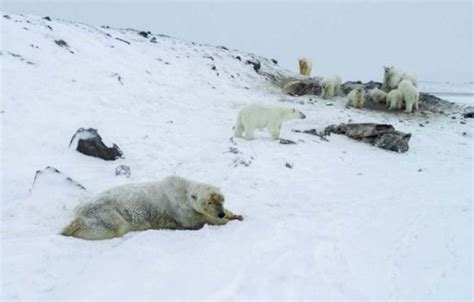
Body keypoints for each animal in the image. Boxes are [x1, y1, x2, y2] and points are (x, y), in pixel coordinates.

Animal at [60, 176, 243, 239]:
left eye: (222, 199)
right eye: (209, 202)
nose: (220, 213)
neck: (183, 190)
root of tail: (79, 208)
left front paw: (236, 215)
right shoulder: (180, 209)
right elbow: (197, 221)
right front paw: (224, 221)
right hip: (106, 211)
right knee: (112, 226)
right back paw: (69, 228)